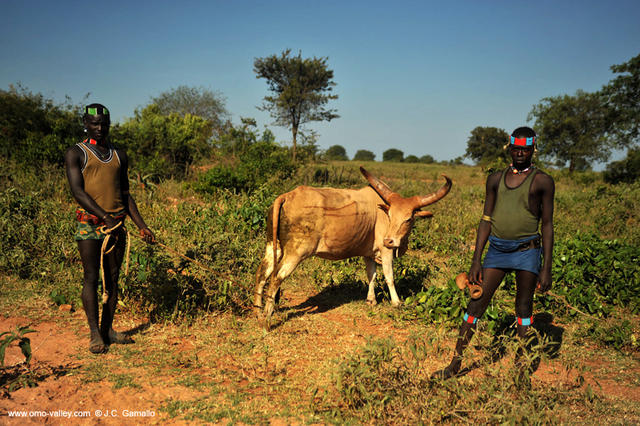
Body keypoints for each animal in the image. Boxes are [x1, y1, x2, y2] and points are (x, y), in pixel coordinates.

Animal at [251, 165, 450, 328]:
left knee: (262, 274)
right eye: (390, 215)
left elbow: (372, 275)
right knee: (277, 277)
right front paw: (396, 302)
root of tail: (287, 196)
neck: (380, 211)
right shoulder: (386, 252)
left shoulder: (369, 254)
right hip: (296, 252)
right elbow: (389, 277)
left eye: (408, 218)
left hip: (273, 245)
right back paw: (266, 320)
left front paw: (371, 300)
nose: (389, 240)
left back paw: (257, 312)